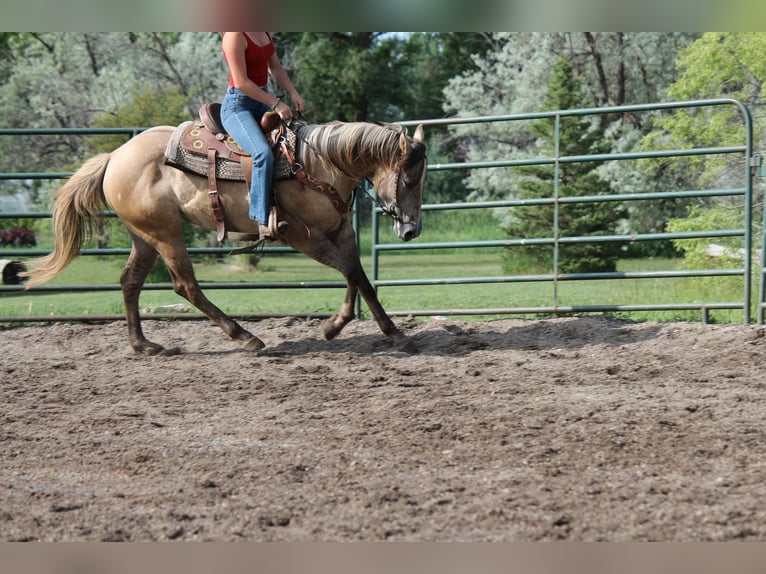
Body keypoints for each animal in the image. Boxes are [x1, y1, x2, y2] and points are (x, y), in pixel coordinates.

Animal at [22, 120, 427, 354]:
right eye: (409, 180)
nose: (411, 230)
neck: (317, 163)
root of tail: (114, 157)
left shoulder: (340, 230)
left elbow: (359, 277)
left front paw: (386, 333)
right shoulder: (302, 236)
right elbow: (350, 271)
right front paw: (338, 326)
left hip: (144, 235)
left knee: (130, 281)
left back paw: (145, 344)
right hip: (166, 233)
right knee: (185, 285)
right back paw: (246, 337)